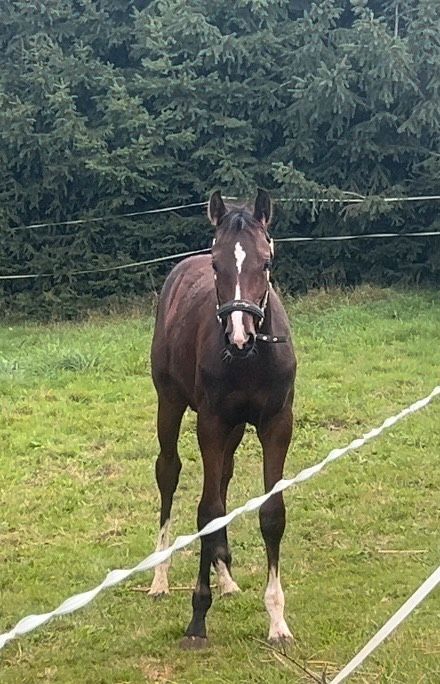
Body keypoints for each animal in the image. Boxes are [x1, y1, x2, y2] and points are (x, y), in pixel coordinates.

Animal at [150, 188, 298, 648]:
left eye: (265, 262)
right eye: (217, 264)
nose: (239, 334)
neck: (251, 360)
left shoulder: (276, 425)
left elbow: (271, 513)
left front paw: (277, 620)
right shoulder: (211, 424)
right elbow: (208, 511)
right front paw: (198, 617)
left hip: (234, 430)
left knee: (224, 480)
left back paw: (226, 576)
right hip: (170, 403)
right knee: (169, 473)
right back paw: (159, 577)